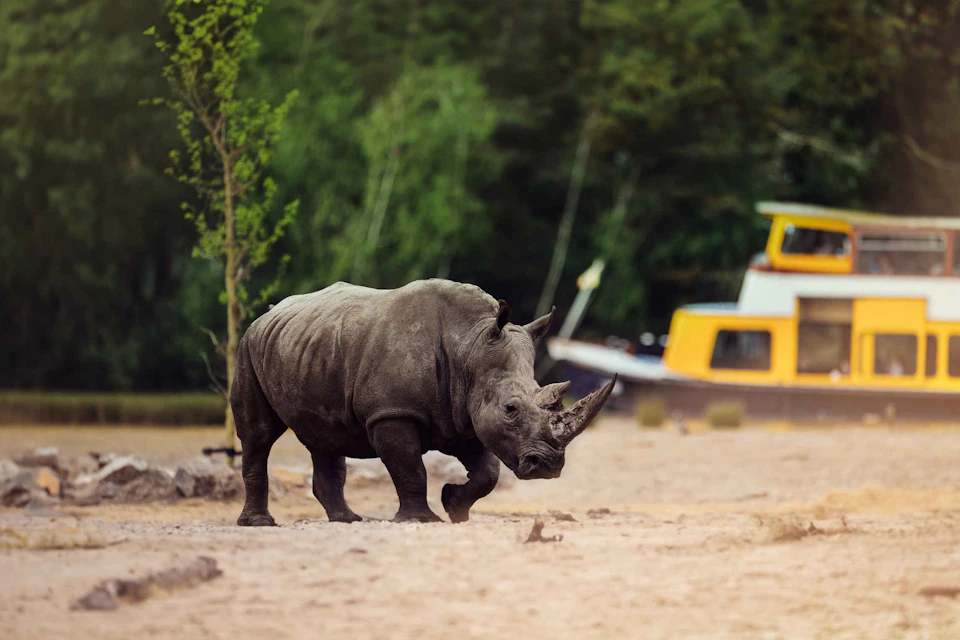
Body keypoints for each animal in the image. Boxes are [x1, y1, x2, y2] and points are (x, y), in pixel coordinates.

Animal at [231, 278, 616, 525]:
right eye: (511, 409)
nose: (549, 466)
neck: (470, 344)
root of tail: (269, 313)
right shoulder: (392, 413)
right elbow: (410, 468)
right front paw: (421, 520)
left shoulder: (464, 415)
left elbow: (487, 473)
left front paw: (454, 507)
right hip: (248, 345)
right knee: (258, 435)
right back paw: (260, 524)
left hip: (311, 347)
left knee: (325, 435)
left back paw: (347, 520)